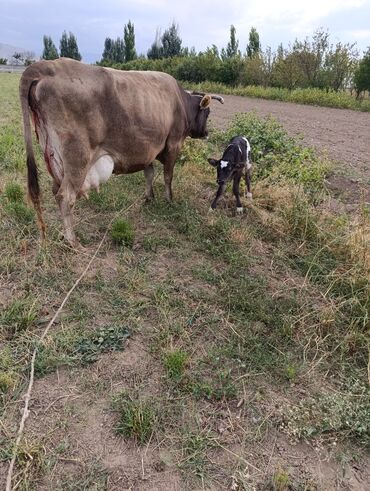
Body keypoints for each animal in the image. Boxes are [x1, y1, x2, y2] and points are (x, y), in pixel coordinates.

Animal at [20, 58, 224, 248]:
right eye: (207, 113)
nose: (206, 132)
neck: (181, 103)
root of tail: (48, 65)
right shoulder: (173, 144)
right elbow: (168, 176)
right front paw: (169, 200)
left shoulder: (147, 148)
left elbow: (149, 173)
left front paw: (149, 198)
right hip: (78, 157)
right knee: (65, 196)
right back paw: (73, 242)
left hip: (53, 156)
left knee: (55, 190)